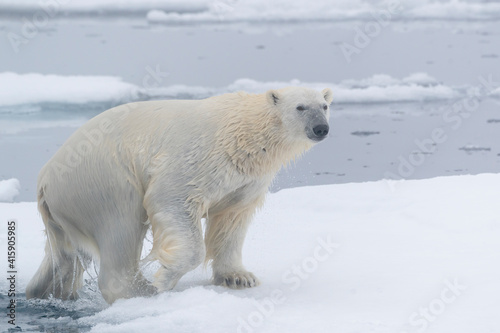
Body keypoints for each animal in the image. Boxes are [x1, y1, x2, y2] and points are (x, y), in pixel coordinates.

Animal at [26, 86, 332, 304]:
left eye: (325, 106)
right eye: (300, 107)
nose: (321, 128)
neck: (244, 131)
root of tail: (44, 180)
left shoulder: (246, 179)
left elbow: (232, 219)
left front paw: (239, 277)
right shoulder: (200, 157)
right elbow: (171, 196)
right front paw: (165, 277)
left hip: (68, 208)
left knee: (64, 257)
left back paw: (45, 291)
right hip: (102, 179)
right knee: (120, 228)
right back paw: (142, 292)